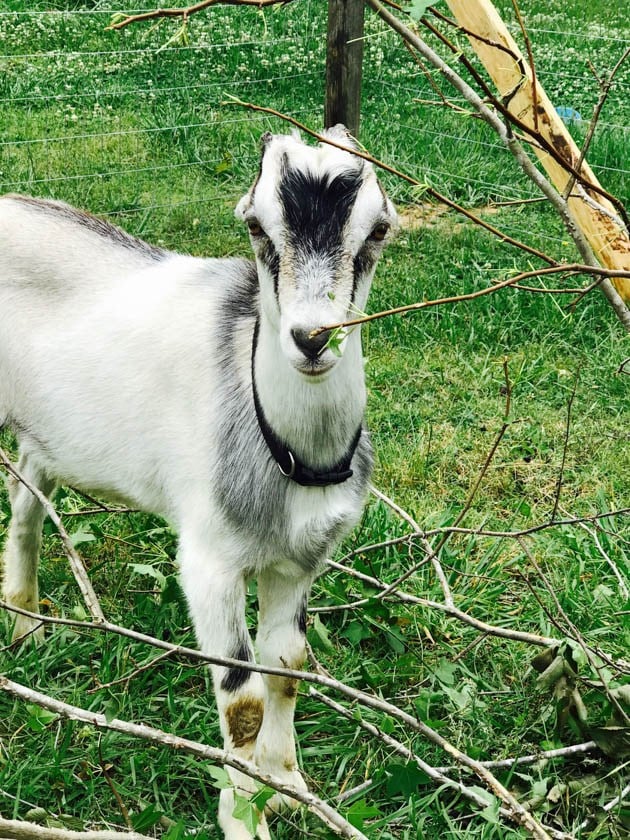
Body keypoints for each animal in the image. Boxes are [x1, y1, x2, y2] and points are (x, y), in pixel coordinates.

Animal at [0, 126, 398, 840]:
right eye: (256, 226)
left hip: (42, 434)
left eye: (378, 229)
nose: (313, 338)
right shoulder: (209, 561)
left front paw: (288, 786)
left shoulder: (299, 560)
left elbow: (286, 668)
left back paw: (26, 626)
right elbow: (242, 700)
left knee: (26, 509)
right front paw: (244, 819)